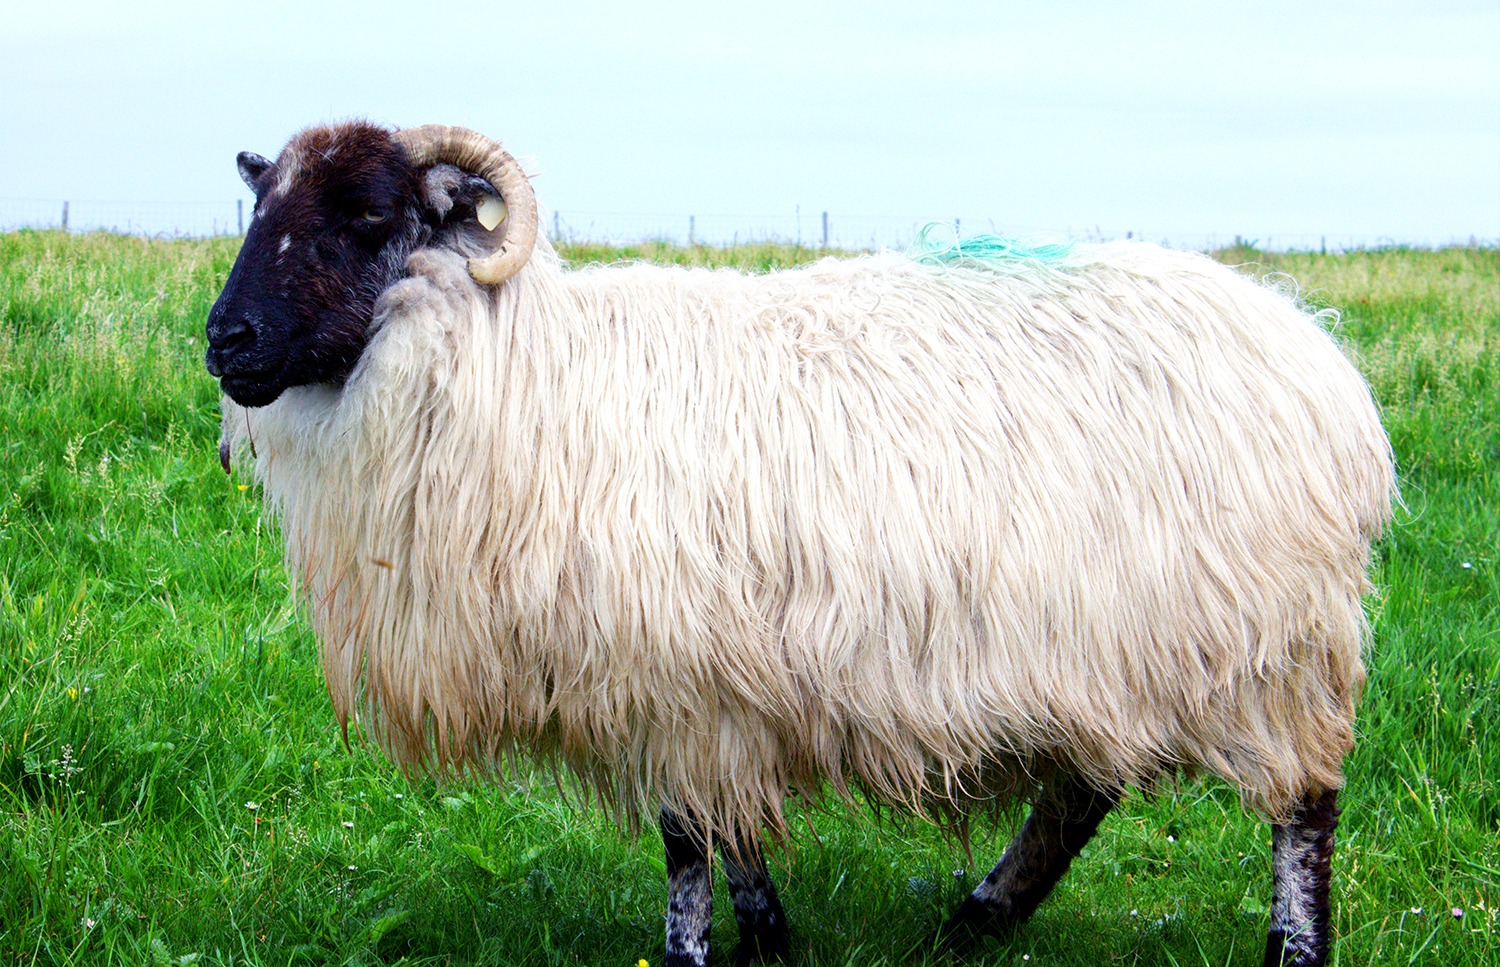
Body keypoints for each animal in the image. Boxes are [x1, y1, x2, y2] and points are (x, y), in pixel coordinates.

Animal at [208, 120, 1392, 965]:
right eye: (259, 206)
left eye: (368, 216)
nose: (227, 341)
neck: (529, 373)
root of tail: (1317, 355)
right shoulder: (706, 689)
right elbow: (725, 832)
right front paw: (771, 937)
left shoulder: (668, 674)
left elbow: (687, 845)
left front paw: (697, 951)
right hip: (1116, 641)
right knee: (1084, 790)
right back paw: (980, 918)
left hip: (1266, 644)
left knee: (1303, 807)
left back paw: (1291, 946)